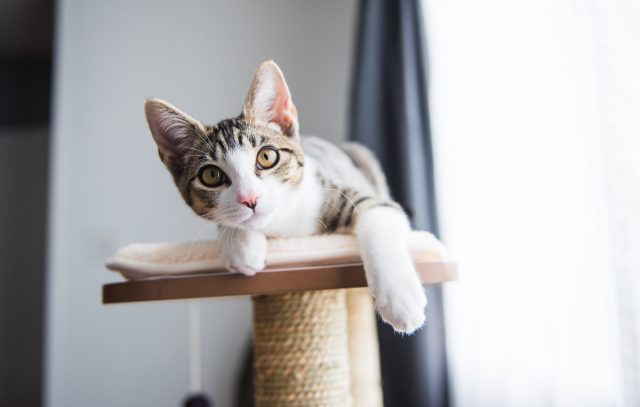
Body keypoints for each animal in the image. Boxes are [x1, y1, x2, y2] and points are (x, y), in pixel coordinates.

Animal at [144, 61, 424, 334]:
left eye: (267, 157)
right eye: (211, 175)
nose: (250, 198)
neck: (283, 223)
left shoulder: (344, 193)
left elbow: (378, 218)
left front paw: (400, 298)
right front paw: (241, 246)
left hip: (360, 153)